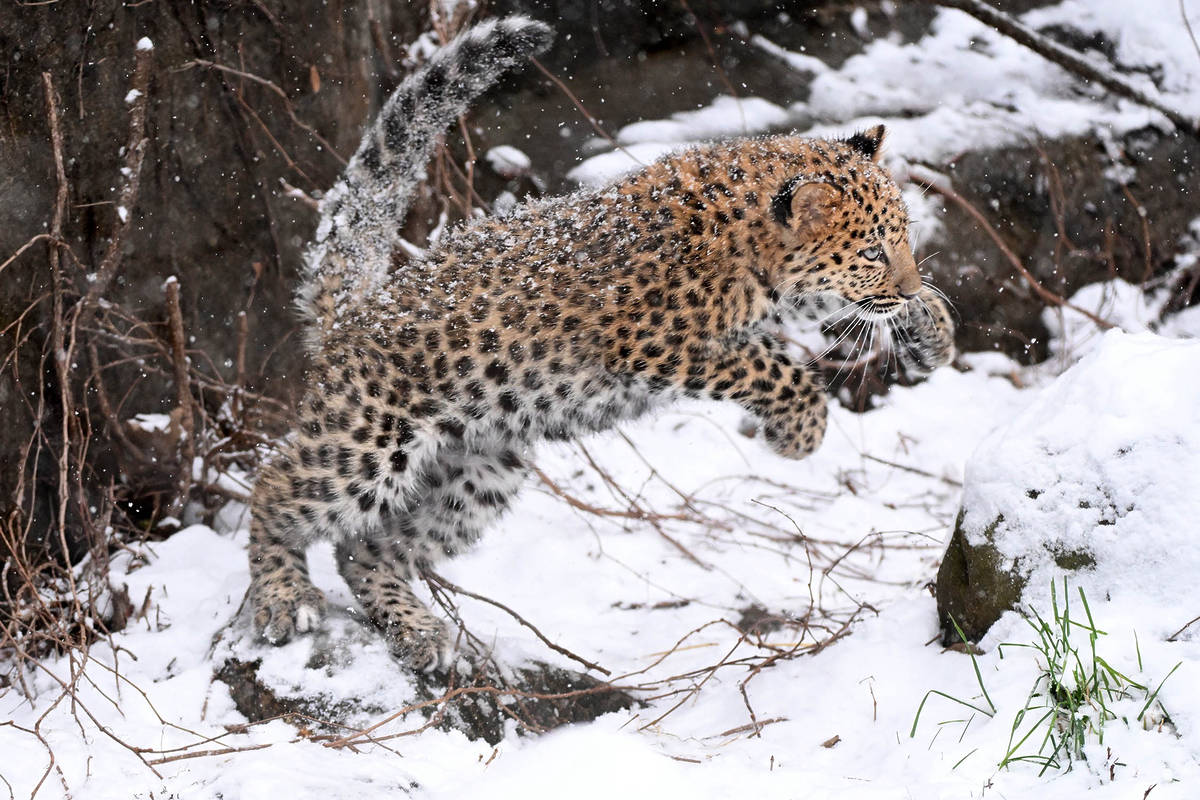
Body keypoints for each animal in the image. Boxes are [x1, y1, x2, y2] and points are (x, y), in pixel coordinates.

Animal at [247, 15, 956, 670]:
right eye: (871, 252)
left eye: (904, 238)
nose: (905, 282)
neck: (750, 249)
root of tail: (359, 310)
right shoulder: (655, 344)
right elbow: (771, 366)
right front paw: (799, 431)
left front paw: (932, 329)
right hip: (369, 441)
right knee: (276, 487)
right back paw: (282, 599)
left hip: (482, 473)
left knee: (365, 548)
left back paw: (416, 631)